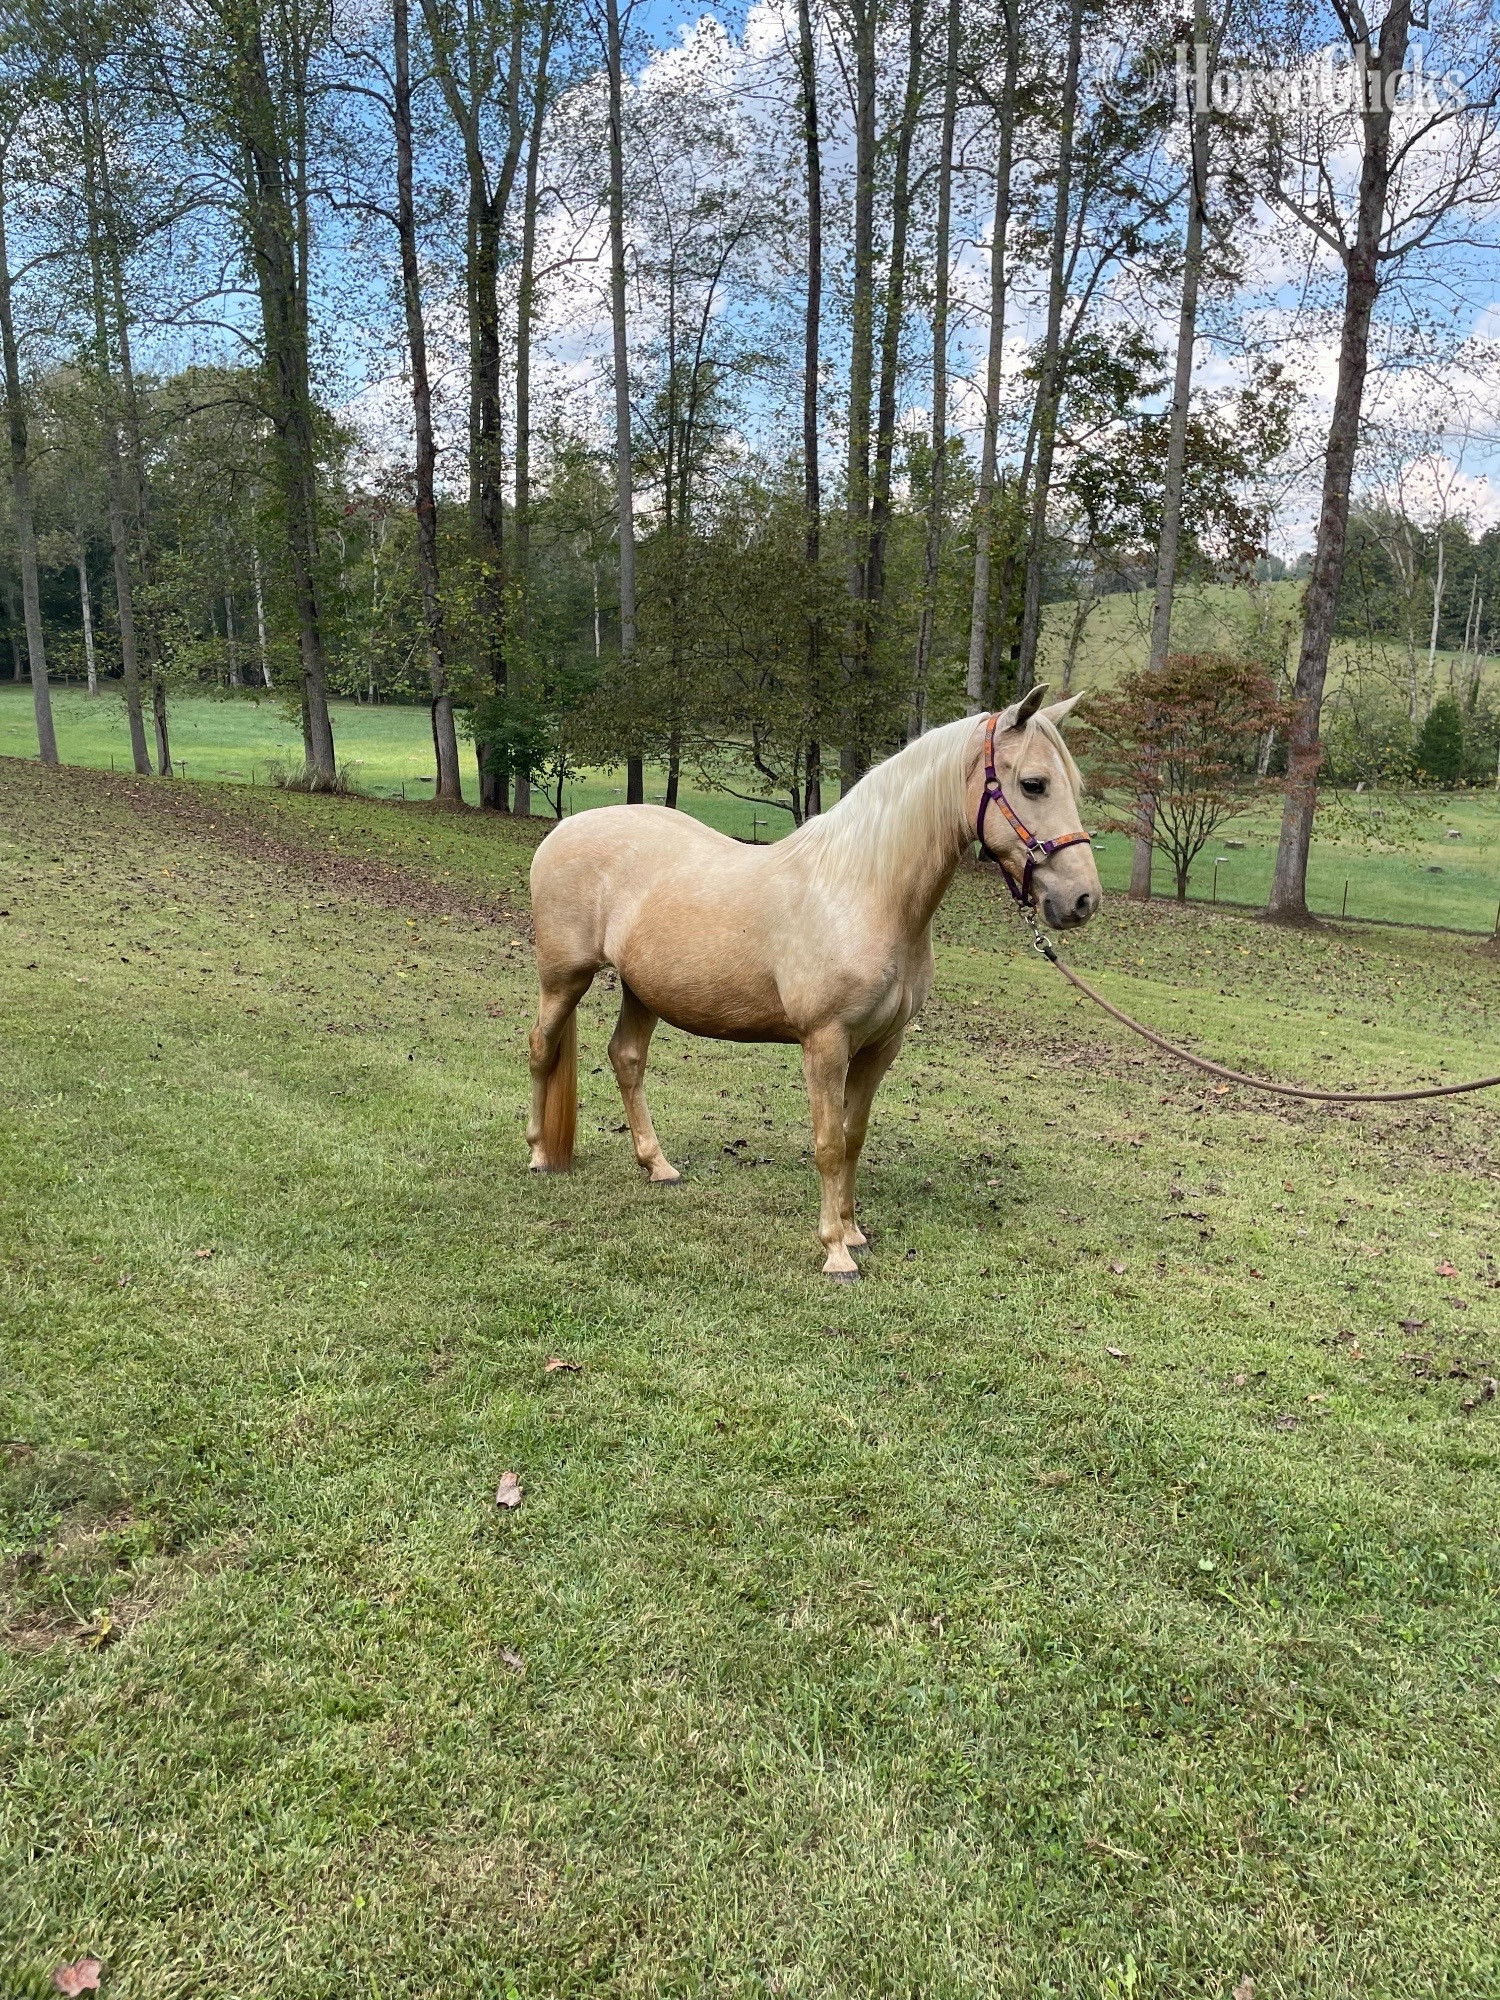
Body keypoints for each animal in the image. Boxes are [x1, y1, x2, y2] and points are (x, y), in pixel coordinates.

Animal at [526, 685, 1101, 1277]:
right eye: (1033, 783)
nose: (1082, 900)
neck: (861, 892)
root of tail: (563, 829)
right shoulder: (826, 1043)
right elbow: (827, 1143)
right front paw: (835, 1253)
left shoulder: (880, 1047)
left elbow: (852, 1137)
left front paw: (854, 1233)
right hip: (564, 977)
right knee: (542, 1047)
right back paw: (540, 1154)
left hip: (643, 990)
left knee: (626, 1059)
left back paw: (658, 1166)